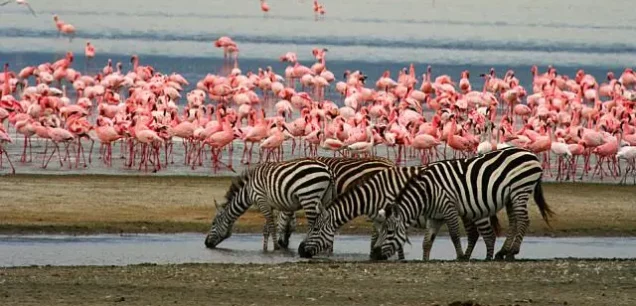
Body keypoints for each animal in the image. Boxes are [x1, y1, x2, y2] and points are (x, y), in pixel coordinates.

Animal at [205, 158, 336, 251]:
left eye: (213, 223)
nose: (206, 243)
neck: (248, 190)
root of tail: (328, 169)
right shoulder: (268, 204)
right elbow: (266, 228)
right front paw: (264, 249)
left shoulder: (261, 200)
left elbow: (272, 226)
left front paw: (275, 247)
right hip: (324, 199)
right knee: (326, 221)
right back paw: (327, 248)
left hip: (308, 196)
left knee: (312, 224)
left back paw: (306, 246)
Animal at [370, 146, 556, 260]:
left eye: (390, 232)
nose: (377, 255)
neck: (428, 191)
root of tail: (530, 153)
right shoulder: (435, 216)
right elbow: (427, 241)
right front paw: (425, 259)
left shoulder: (449, 208)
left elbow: (454, 235)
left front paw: (460, 257)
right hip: (511, 196)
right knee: (514, 221)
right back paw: (503, 251)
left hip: (520, 190)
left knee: (523, 220)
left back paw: (512, 251)